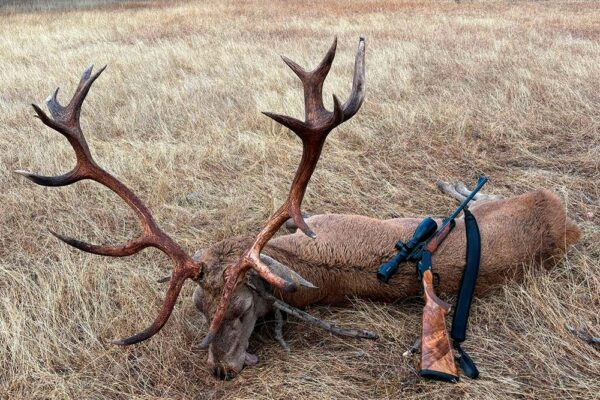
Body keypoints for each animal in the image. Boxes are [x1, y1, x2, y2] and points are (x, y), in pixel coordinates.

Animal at [17, 38, 580, 382]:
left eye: (242, 311)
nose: (222, 370)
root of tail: (560, 219)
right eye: (197, 307)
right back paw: (457, 184)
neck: (292, 255)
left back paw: (456, 184)